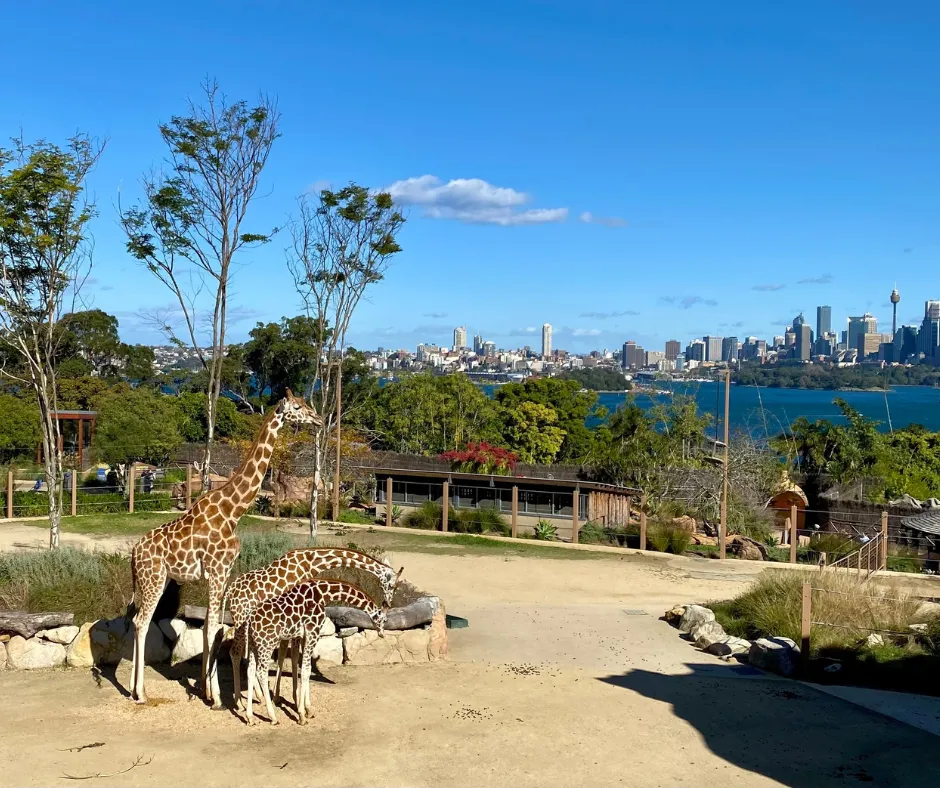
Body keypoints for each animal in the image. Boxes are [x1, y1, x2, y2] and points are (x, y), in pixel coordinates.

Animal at [128, 391, 322, 706]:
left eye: (307, 405)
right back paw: (141, 693)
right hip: (153, 578)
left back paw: (136, 690)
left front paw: (206, 691)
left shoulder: (223, 571)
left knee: (136, 620)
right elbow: (213, 628)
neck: (234, 510)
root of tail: (133, 554)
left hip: (157, 579)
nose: (318, 419)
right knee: (142, 622)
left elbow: (213, 625)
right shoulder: (218, 570)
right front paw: (217, 696)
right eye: (297, 407)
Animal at [221, 547, 403, 704]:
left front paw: (285, 698)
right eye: (391, 585)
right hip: (242, 619)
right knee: (235, 652)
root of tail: (229, 591)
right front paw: (292, 700)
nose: (388, 602)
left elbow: (287, 656)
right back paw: (240, 701)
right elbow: (292, 656)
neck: (312, 561)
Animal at [237, 579, 386, 725]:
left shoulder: (304, 635)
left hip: (253, 644)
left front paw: (308, 709)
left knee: (250, 670)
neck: (323, 594)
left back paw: (250, 717)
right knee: (261, 672)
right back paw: (273, 717)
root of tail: (249, 620)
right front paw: (302, 715)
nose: (382, 634)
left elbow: (304, 668)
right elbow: (306, 670)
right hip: (266, 643)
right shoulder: (312, 632)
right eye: (384, 620)